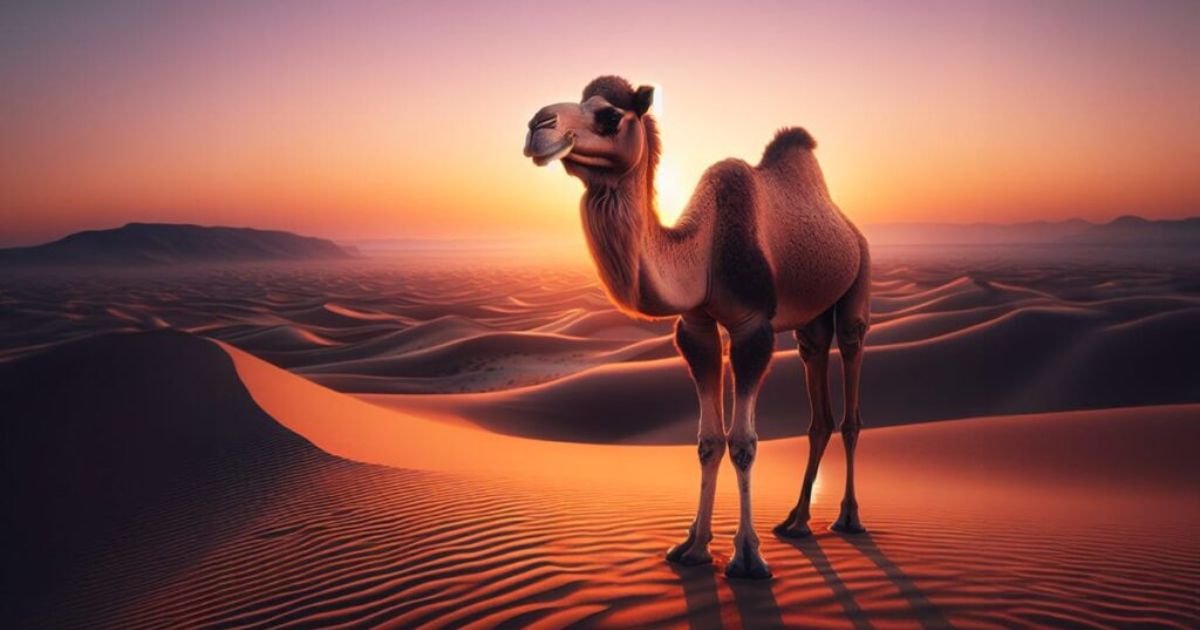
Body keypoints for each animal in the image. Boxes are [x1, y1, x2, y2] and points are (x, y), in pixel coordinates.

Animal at [523, 76, 870, 579]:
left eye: (609, 116)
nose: (537, 125)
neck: (703, 252)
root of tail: (847, 225)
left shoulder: (752, 328)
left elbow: (743, 442)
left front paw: (747, 558)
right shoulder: (696, 327)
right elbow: (708, 440)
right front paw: (692, 547)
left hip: (858, 283)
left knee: (851, 392)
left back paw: (848, 519)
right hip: (811, 320)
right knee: (817, 400)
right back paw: (796, 522)